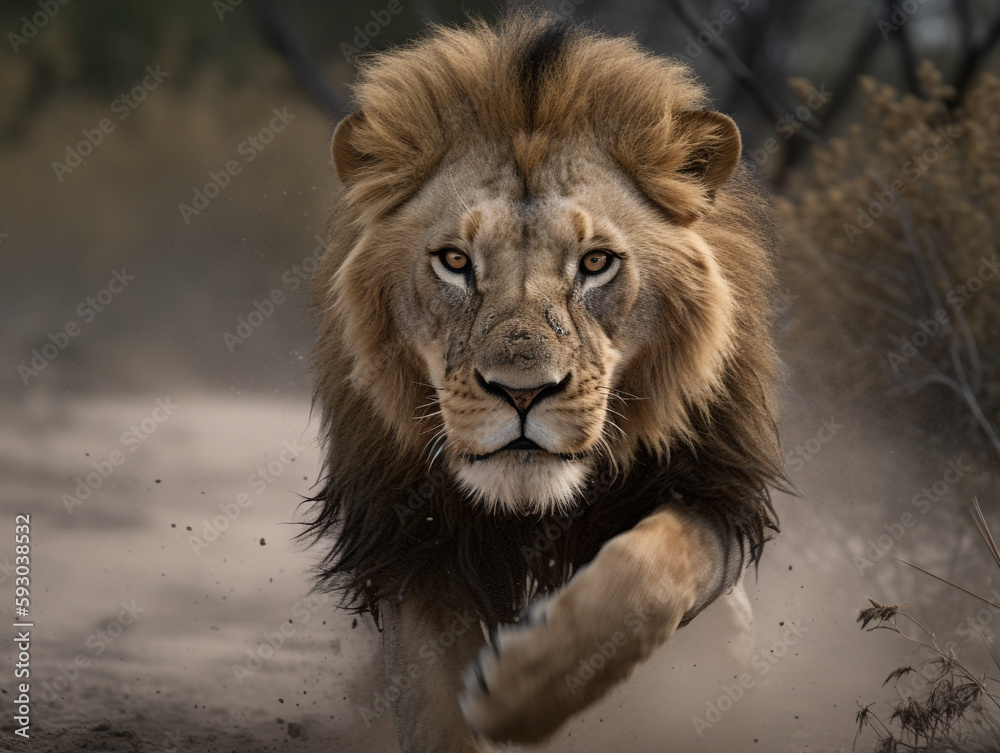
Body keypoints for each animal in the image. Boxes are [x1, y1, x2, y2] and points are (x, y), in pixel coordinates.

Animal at [306, 12, 783, 752]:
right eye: (454, 261)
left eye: (596, 262)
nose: (522, 393)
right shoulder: (412, 548)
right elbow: (435, 707)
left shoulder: (717, 492)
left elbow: (647, 572)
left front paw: (518, 690)